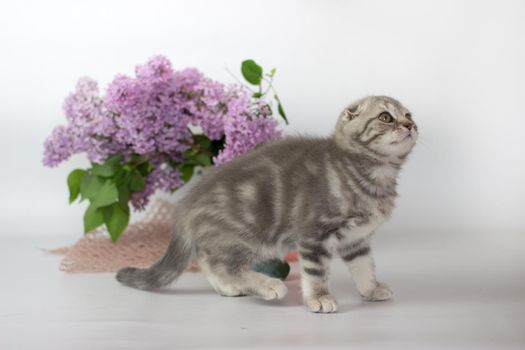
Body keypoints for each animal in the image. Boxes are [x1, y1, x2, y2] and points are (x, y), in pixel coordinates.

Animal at [115, 95, 418, 312]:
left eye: (409, 115)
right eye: (386, 117)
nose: (409, 125)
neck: (375, 174)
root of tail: (187, 205)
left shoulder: (356, 240)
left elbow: (364, 267)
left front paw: (370, 289)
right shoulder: (312, 233)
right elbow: (317, 273)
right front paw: (319, 298)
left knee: (208, 259)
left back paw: (228, 287)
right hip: (246, 235)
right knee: (225, 264)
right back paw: (267, 286)